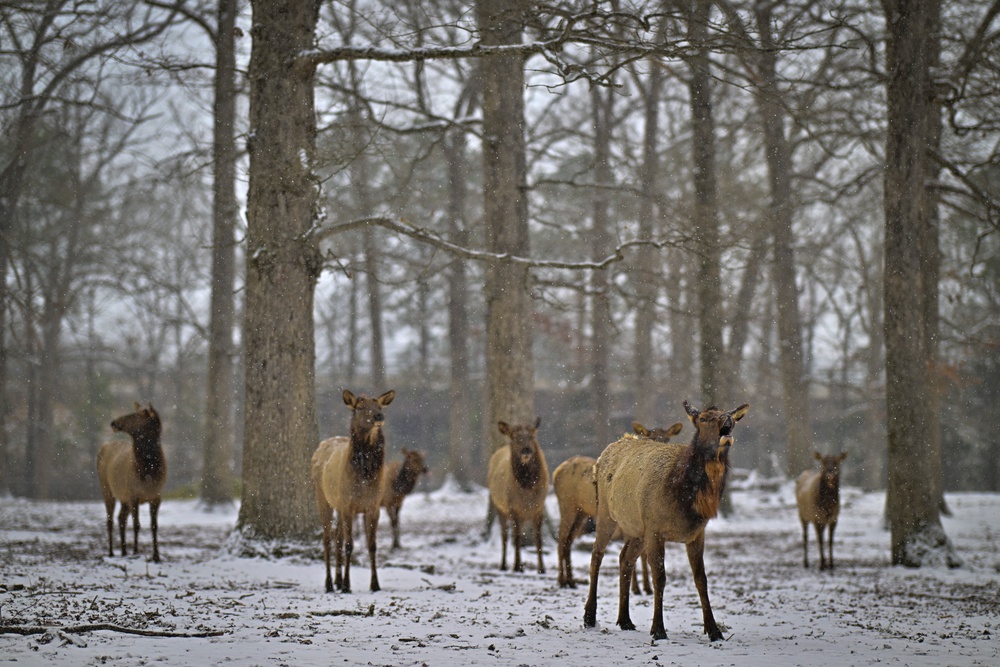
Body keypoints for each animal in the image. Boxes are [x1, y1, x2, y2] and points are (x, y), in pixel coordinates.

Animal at [96, 402, 166, 564]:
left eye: (136, 415)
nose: (113, 423)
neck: (148, 474)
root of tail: (103, 446)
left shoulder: (156, 496)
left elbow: (154, 526)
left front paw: (156, 556)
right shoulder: (134, 494)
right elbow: (137, 525)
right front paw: (136, 552)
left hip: (123, 497)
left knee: (120, 518)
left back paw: (123, 551)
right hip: (106, 489)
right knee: (110, 520)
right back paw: (111, 552)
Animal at [312, 392, 394, 596]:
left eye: (380, 406)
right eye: (360, 407)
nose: (379, 417)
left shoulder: (373, 506)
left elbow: (372, 545)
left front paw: (375, 585)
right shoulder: (348, 505)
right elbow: (350, 545)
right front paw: (347, 586)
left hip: (339, 506)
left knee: (337, 537)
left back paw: (337, 580)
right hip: (323, 498)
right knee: (327, 539)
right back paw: (329, 584)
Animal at [488, 418, 552, 576]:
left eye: (532, 435)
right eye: (515, 437)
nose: (526, 450)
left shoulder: (539, 507)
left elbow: (538, 538)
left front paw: (542, 568)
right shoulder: (513, 508)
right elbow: (516, 538)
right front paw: (518, 567)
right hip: (499, 507)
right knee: (505, 535)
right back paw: (504, 565)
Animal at [552, 422, 684, 588]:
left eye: (668, 438)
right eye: (651, 437)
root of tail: (555, 472)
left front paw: (643, 587)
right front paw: (640, 588)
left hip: (581, 512)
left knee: (568, 540)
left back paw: (570, 580)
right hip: (567, 505)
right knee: (562, 538)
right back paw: (562, 580)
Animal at [580, 402, 752, 640]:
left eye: (731, 417)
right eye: (704, 418)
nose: (727, 420)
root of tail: (605, 453)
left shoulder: (696, 533)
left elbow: (701, 579)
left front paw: (714, 630)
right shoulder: (655, 528)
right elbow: (659, 577)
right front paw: (658, 629)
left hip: (637, 528)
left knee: (625, 558)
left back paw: (625, 620)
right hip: (606, 512)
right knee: (597, 555)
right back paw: (589, 617)